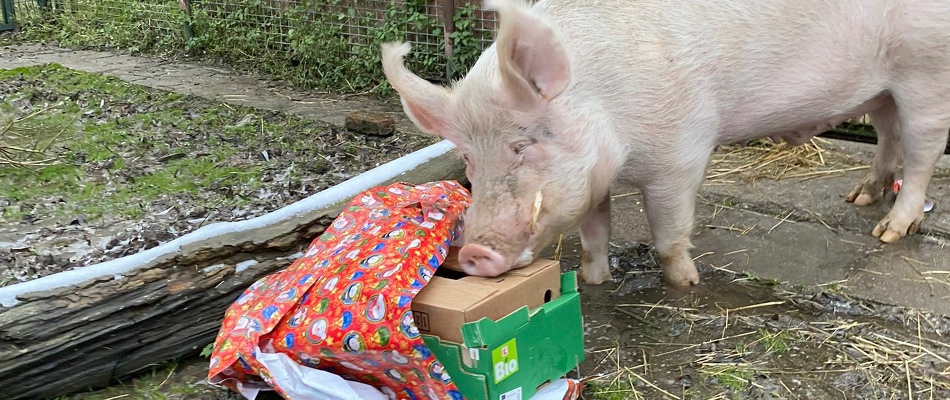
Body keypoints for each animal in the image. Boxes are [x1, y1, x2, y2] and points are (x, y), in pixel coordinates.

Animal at [380, 0, 950, 288]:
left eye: (525, 145)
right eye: (468, 159)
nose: (473, 250)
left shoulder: (680, 156)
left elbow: (669, 233)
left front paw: (687, 283)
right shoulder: (594, 176)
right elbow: (594, 231)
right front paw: (591, 280)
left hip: (927, 71)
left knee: (923, 149)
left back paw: (888, 232)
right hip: (882, 88)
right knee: (888, 132)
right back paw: (861, 197)